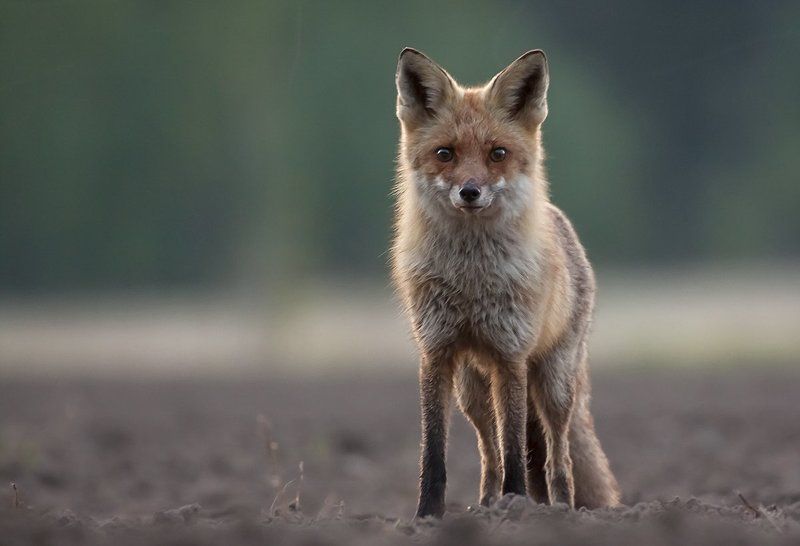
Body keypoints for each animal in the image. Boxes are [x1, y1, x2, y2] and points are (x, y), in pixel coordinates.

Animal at [390, 48, 621, 518]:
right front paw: (427, 515)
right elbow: (435, 452)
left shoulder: (510, 356)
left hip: (553, 385)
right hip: (473, 393)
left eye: (497, 153)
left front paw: (518, 505)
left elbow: (516, 448)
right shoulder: (436, 353)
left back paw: (558, 508)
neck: (470, 279)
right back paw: (488, 504)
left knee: (557, 459)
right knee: (489, 455)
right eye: (445, 153)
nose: (470, 191)